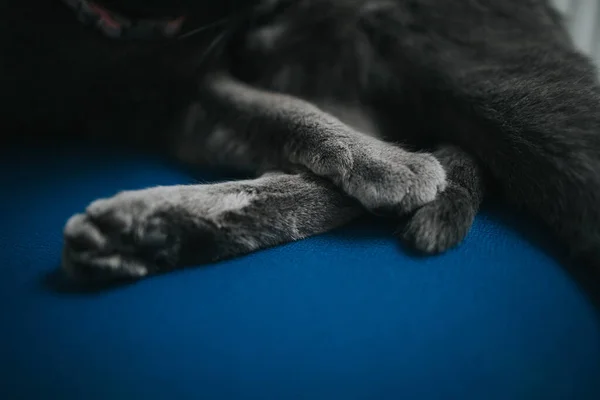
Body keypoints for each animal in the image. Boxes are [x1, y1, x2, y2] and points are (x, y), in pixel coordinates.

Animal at [3, 0, 596, 282]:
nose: (267, 10)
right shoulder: (177, 96)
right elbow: (275, 115)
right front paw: (388, 165)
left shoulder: (181, 86)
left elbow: (279, 110)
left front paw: (387, 165)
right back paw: (136, 236)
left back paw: (135, 234)